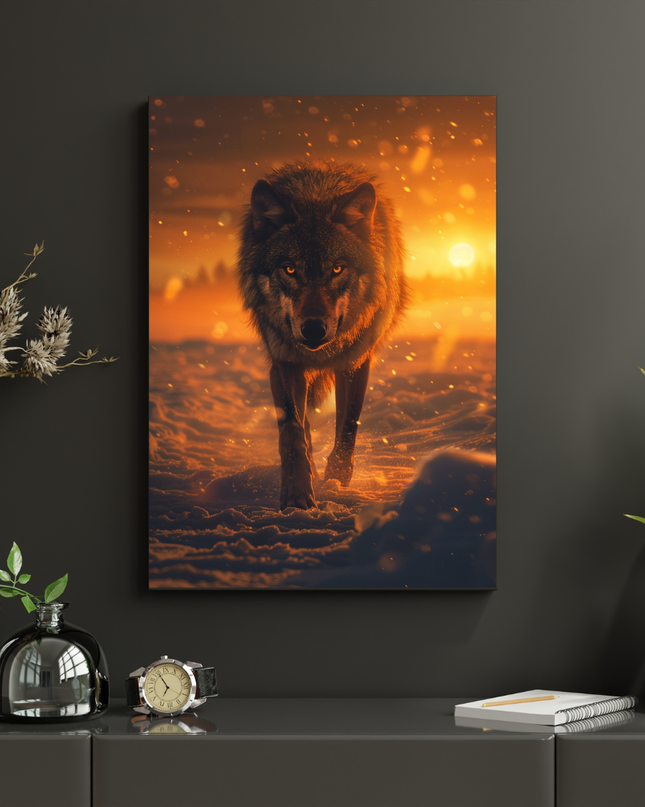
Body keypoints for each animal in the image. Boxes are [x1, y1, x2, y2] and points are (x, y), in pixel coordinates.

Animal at [237, 161, 408, 509]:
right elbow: (291, 432)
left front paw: (336, 483)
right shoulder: (285, 363)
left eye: (337, 269)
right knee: (304, 426)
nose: (313, 328)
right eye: (290, 269)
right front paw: (297, 497)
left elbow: (348, 426)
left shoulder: (355, 362)